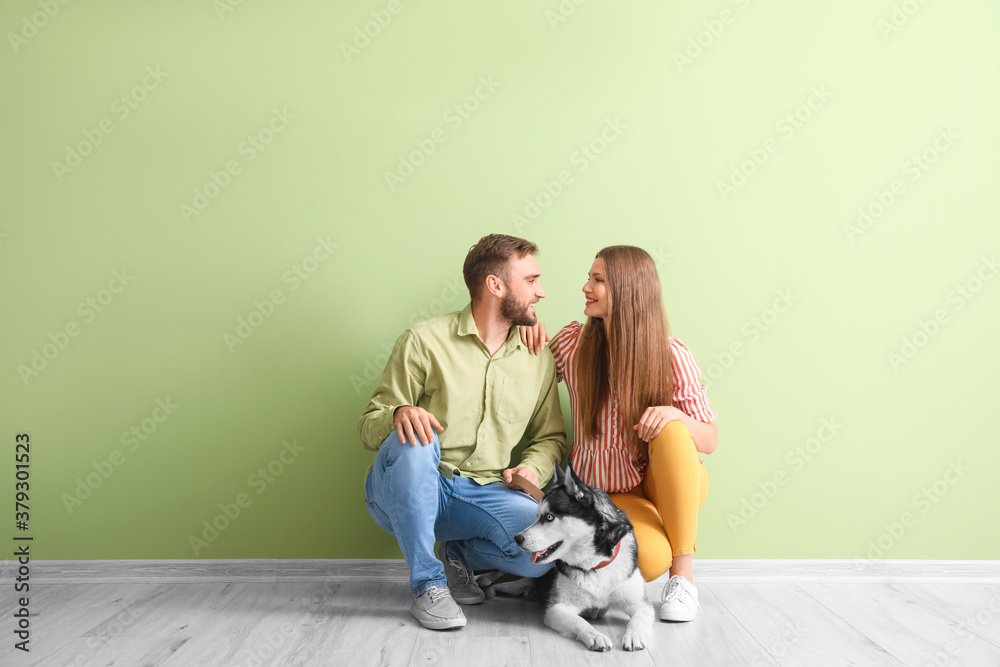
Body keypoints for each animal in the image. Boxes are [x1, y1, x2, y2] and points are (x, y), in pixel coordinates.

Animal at [496, 462, 652, 648]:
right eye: (537, 515)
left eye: (549, 517)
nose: (517, 538)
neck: (594, 565)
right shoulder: (558, 608)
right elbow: (580, 621)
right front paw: (595, 635)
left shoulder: (640, 603)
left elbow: (639, 618)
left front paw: (634, 635)